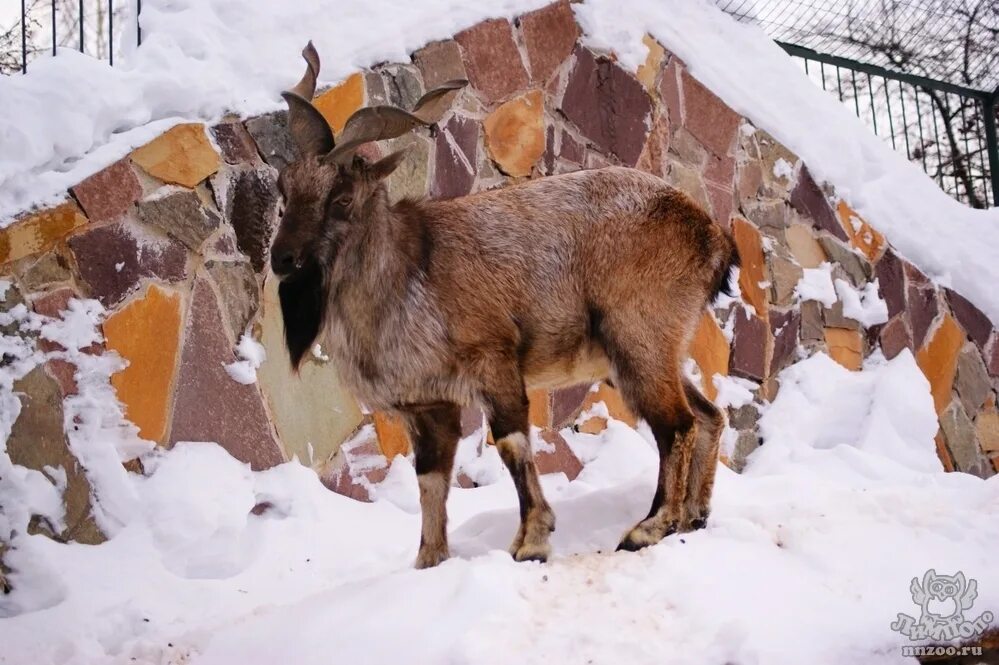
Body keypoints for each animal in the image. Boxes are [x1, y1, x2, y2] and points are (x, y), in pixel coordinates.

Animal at [270, 44, 740, 568]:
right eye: (284, 187)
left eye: (343, 198)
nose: (281, 258)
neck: (407, 276)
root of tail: (712, 236)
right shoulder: (427, 406)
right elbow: (430, 483)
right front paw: (430, 561)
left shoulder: (494, 363)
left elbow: (512, 445)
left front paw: (532, 539)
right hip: (643, 355)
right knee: (708, 415)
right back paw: (693, 516)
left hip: (639, 336)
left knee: (676, 425)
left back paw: (649, 527)